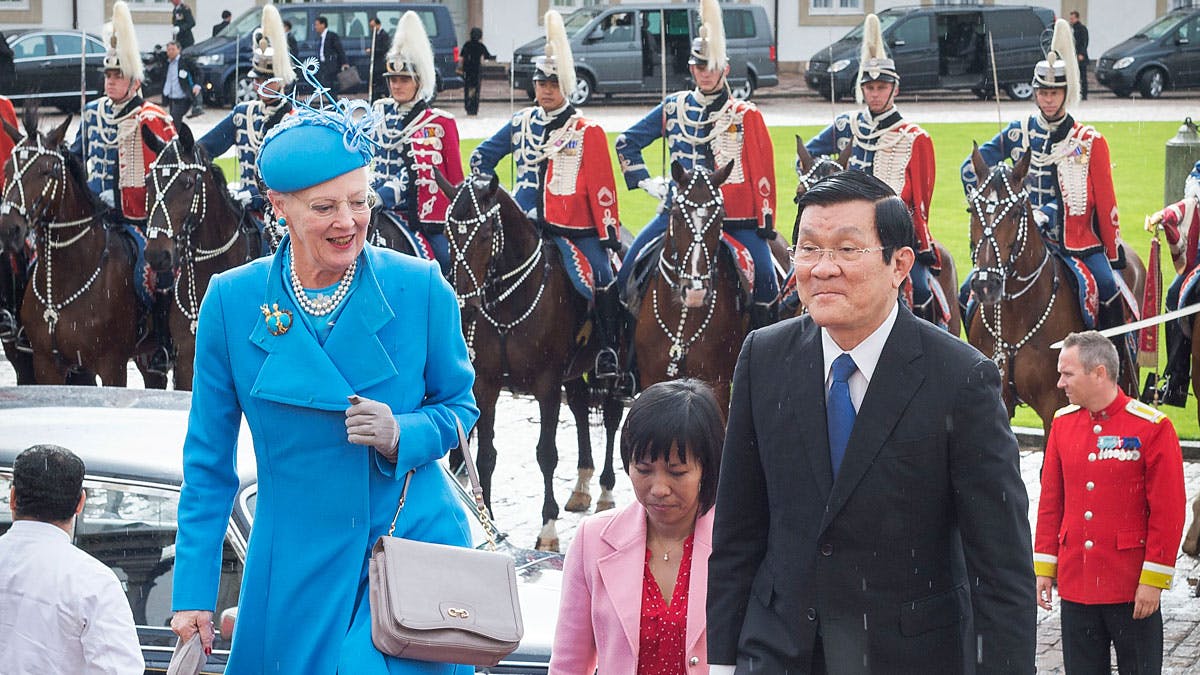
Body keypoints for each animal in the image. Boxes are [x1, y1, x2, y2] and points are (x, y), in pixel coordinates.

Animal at [441, 170, 628, 550]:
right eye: (447, 234)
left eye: (485, 235)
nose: (464, 306)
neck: (508, 301)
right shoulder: (487, 384)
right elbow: (486, 454)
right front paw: (488, 522)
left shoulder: (546, 384)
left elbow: (546, 454)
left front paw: (548, 527)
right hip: (573, 373)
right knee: (581, 409)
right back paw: (582, 486)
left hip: (610, 368)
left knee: (612, 417)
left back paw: (604, 489)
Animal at [964, 146, 1142, 429]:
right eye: (972, 209)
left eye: (1016, 212)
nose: (985, 284)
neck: (1016, 316)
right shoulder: (997, 395)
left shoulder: (1055, 404)